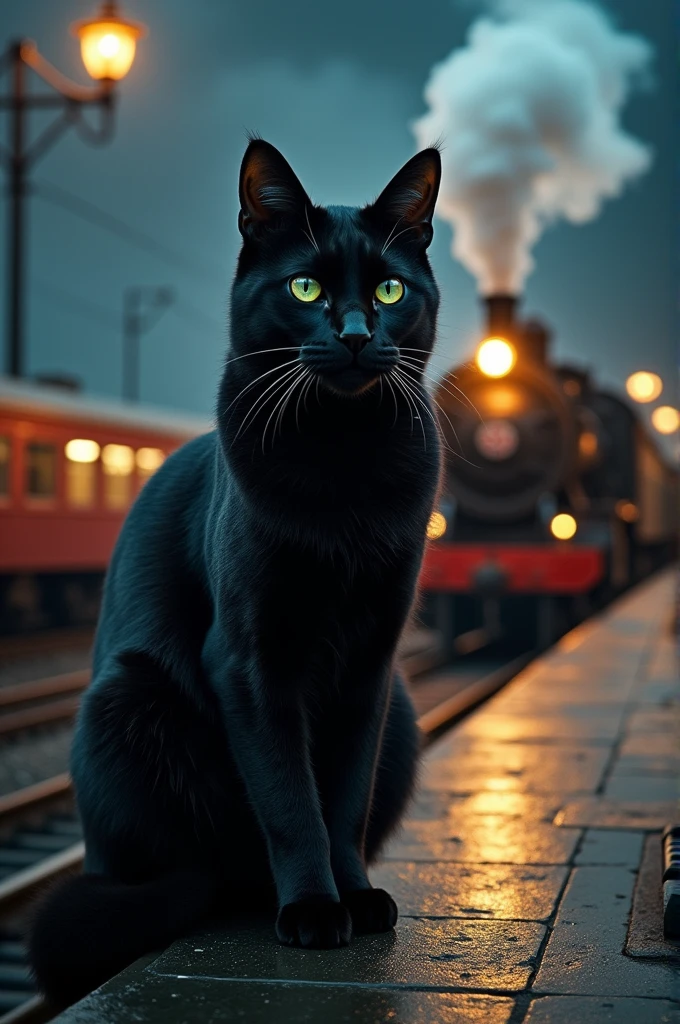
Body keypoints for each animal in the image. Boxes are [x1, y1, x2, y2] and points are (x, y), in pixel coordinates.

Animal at [27, 138, 440, 1007]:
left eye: (390, 289)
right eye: (305, 286)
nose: (357, 333)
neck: (343, 462)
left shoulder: (371, 664)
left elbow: (342, 795)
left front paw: (353, 894)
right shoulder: (251, 660)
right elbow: (289, 796)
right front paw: (314, 908)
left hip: (404, 709)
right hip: (126, 701)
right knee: (193, 868)